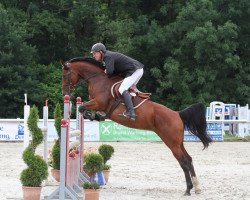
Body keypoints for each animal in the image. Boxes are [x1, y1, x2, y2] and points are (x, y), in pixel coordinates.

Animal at [61, 56, 212, 195]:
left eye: (64, 75)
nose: (64, 94)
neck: (98, 79)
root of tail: (177, 114)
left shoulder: (99, 102)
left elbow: (82, 108)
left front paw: (93, 115)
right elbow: (84, 109)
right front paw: (95, 116)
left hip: (171, 143)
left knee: (183, 162)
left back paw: (188, 189)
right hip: (178, 142)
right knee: (189, 159)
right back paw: (197, 187)